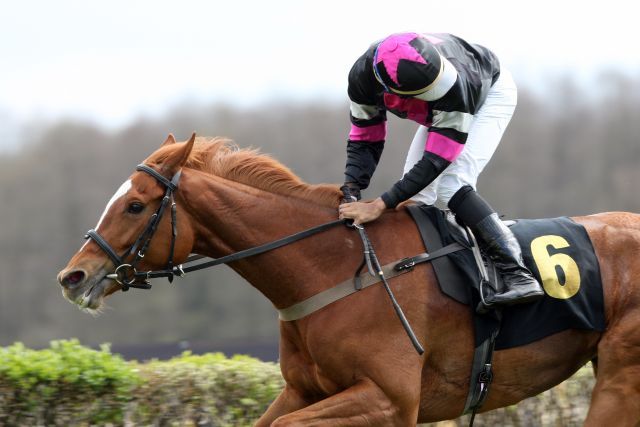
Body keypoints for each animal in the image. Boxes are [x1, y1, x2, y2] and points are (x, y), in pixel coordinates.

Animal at [57, 135, 640, 427]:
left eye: (135, 205)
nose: (72, 276)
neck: (332, 270)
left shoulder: (389, 399)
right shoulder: (305, 390)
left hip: (619, 380)